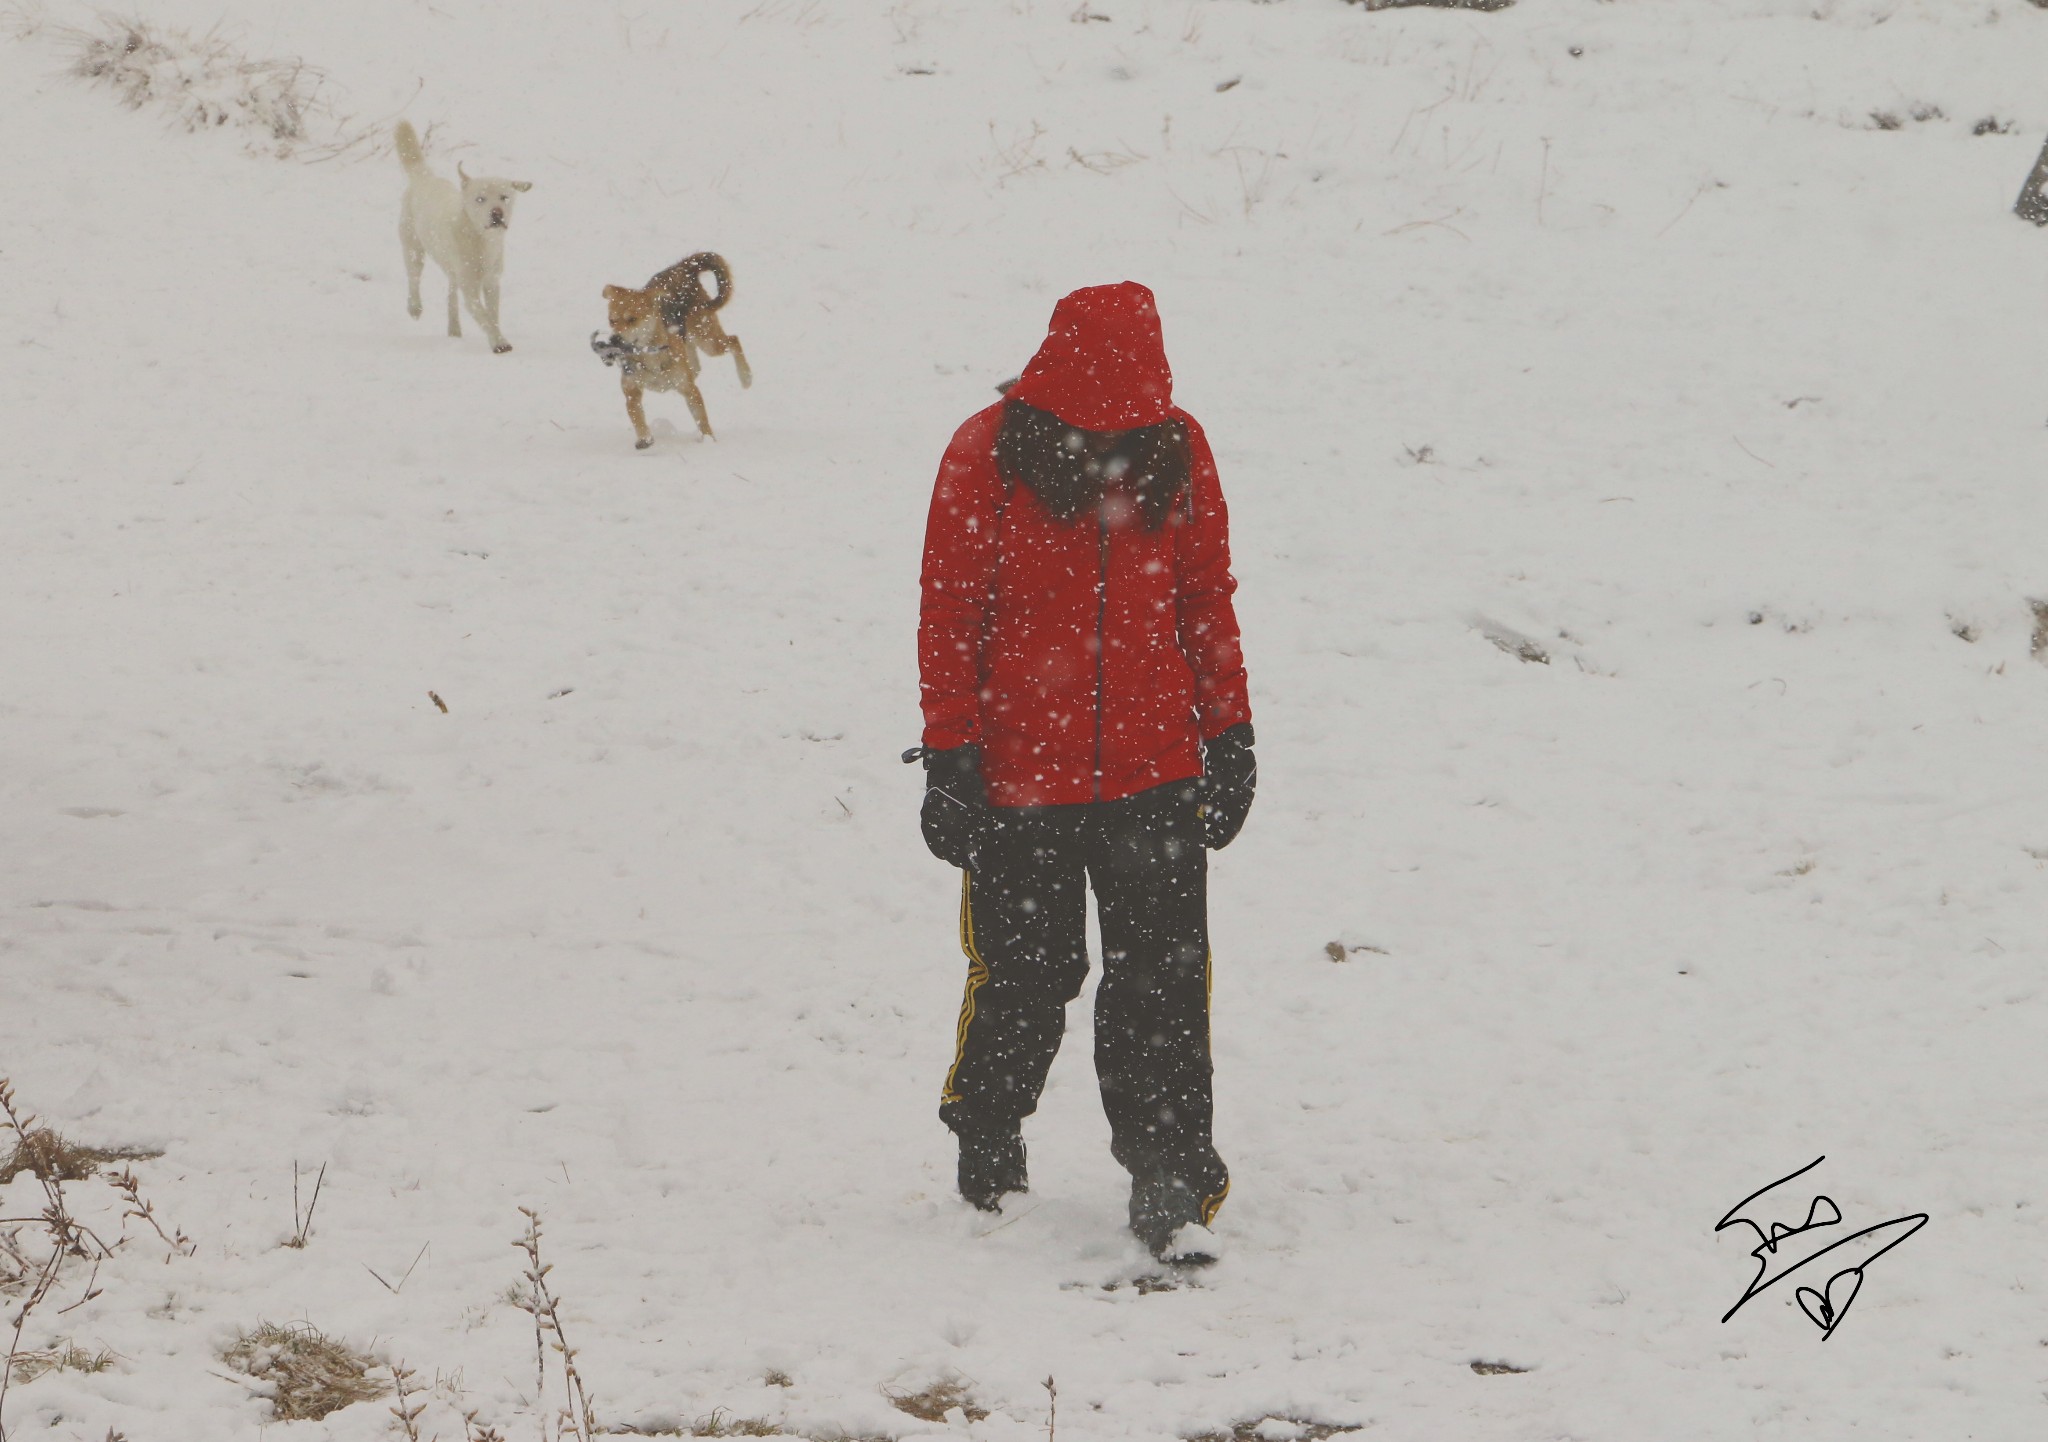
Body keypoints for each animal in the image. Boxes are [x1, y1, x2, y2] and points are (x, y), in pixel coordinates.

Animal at [391, 120, 532, 352]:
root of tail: (424, 176)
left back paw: (454, 330)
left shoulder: (492, 281)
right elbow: (483, 315)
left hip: (451, 269)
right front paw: (499, 343)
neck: (479, 239)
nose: (497, 214)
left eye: (504, 197)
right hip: (413, 246)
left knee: (451, 295)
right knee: (413, 276)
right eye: (480, 199)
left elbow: (492, 315)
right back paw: (415, 308)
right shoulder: (470, 287)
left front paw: (497, 336)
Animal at [593, 250, 753, 448]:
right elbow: (637, 417)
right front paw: (644, 438)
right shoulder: (631, 390)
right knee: (699, 364)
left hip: (708, 340)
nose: (613, 339)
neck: (649, 355)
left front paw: (709, 441)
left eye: (632, 319)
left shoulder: (689, 389)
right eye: (612, 320)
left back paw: (746, 377)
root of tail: (682, 268)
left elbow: (702, 420)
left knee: (733, 340)